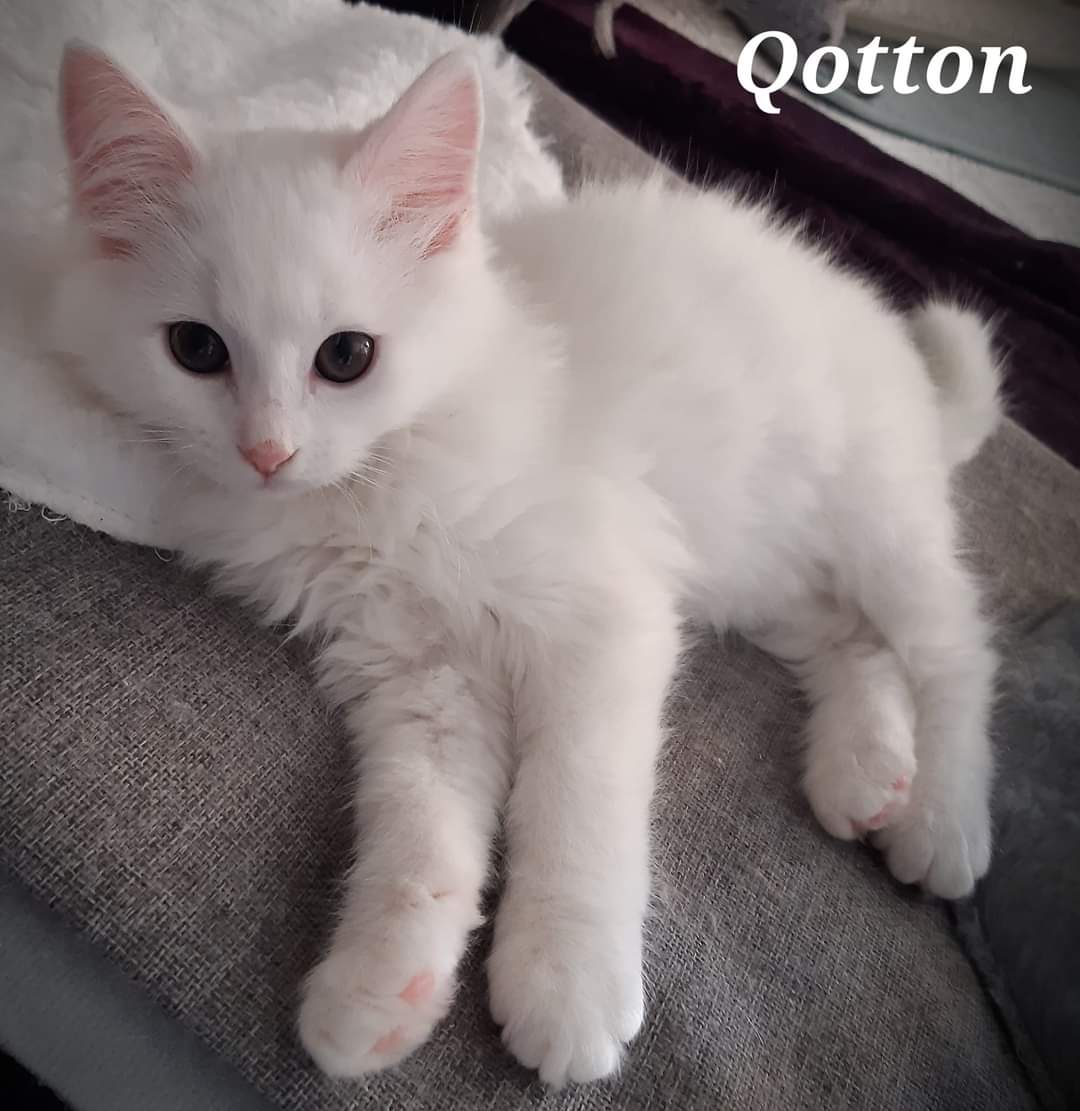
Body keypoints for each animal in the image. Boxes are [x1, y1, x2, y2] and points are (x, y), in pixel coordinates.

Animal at [51, 43, 999, 1087]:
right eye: (196, 349)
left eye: (346, 357)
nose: (268, 452)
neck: (386, 481)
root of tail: (876, 321)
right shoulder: (417, 671)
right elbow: (419, 829)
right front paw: (381, 985)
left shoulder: (605, 620)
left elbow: (574, 806)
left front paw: (567, 981)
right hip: (761, 569)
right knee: (853, 641)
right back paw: (866, 773)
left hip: (879, 523)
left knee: (955, 653)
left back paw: (941, 820)